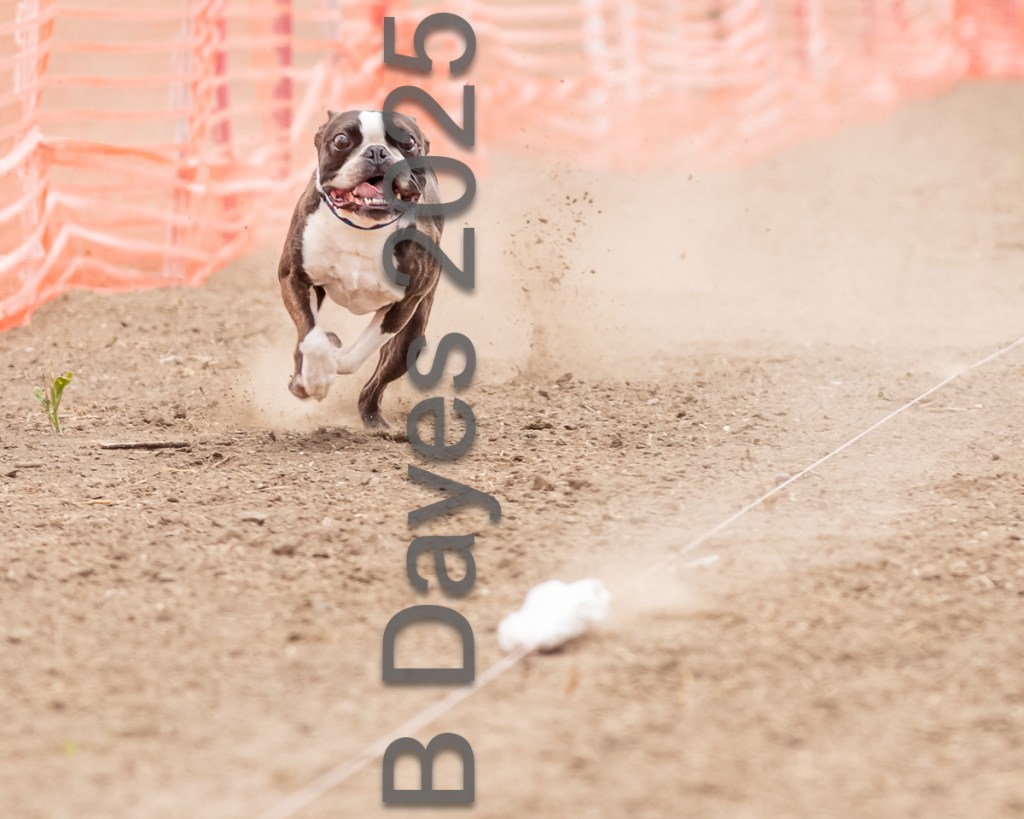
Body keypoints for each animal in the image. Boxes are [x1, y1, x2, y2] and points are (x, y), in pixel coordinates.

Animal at [277, 109, 442, 427]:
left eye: (408, 142)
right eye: (341, 140)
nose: (377, 151)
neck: (364, 225)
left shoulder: (403, 306)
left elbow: (357, 354)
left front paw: (333, 359)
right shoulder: (295, 277)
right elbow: (312, 337)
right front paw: (316, 374)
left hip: (412, 337)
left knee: (377, 381)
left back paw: (374, 420)